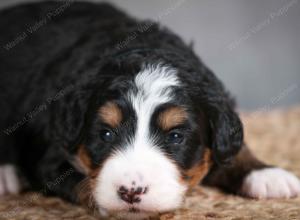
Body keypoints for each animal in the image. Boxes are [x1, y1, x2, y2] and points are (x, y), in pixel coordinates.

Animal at [0, 0, 300, 219]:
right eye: (106, 135)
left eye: (175, 137)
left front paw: (266, 174)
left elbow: (231, 149)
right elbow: (82, 182)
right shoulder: (48, 154)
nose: (131, 192)